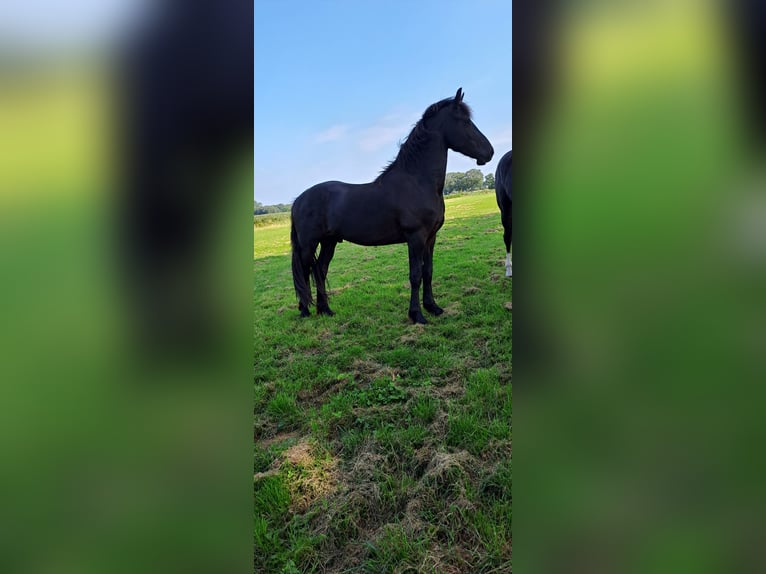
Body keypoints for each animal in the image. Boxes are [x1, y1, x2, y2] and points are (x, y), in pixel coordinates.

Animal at [292, 89, 496, 324]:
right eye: (464, 122)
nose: (489, 152)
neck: (417, 181)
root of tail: (298, 200)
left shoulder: (431, 238)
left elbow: (428, 272)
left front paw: (433, 307)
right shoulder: (416, 237)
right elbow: (415, 275)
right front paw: (417, 315)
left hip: (329, 242)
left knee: (320, 270)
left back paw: (325, 309)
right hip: (308, 244)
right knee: (304, 272)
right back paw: (305, 311)